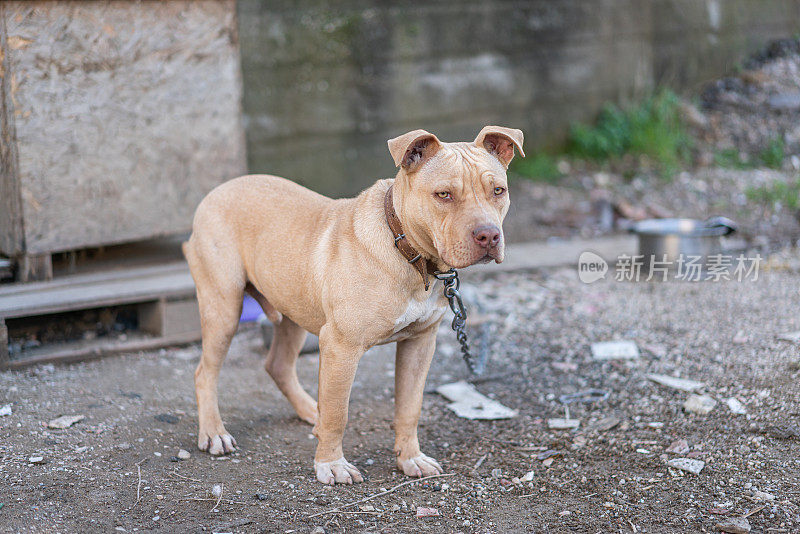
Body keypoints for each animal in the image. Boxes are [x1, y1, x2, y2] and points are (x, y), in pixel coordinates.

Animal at [183, 125, 524, 486]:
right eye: (443, 194)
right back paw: (214, 433)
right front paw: (330, 463)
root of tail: (218, 190)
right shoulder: (340, 347)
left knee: (278, 365)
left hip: (293, 308)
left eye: (498, 191)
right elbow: (338, 412)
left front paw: (411, 458)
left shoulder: (420, 343)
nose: (488, 236)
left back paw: (311, 411)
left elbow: (409, 407)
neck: (407, 250)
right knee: (205, 372)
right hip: (224, 307)